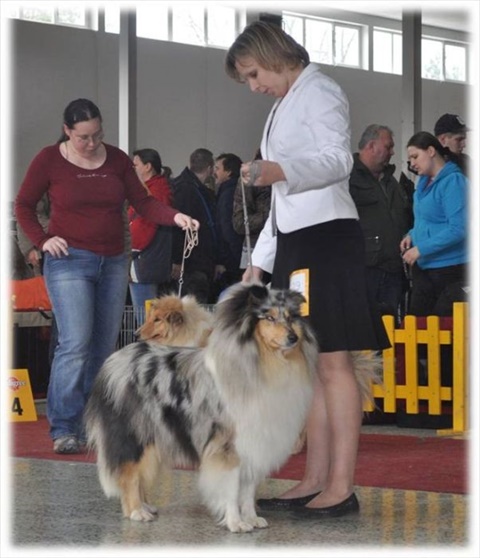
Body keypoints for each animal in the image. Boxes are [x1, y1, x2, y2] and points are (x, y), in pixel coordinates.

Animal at [84, 283, 319, 533]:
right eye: (269, 318)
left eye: (290, 318)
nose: (293, 338)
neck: (263, 363)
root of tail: (113, 360)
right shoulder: (227, 446)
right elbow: (231, 488)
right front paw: (236, 522)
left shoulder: (254, 443)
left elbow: (247, 489)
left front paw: (252, 518)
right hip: (135, 435)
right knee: (129, 474)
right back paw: (137, 511)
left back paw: (146, 506)